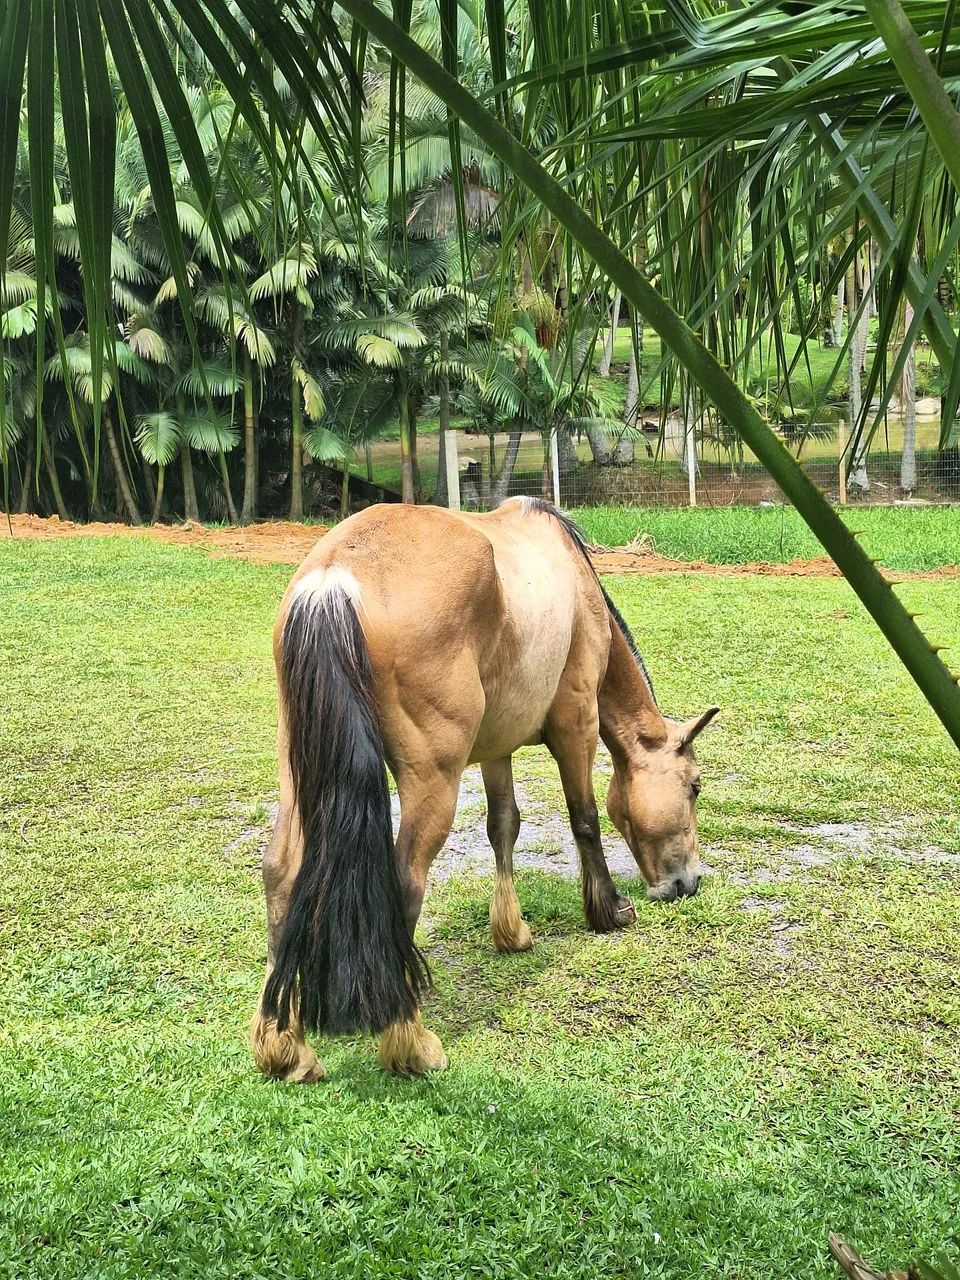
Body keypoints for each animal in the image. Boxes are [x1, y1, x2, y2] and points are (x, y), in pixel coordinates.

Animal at [250, 497, 718, 1082]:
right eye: (695, 787)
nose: (687, 883)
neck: (575, 576)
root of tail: (335, 578)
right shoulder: (577, 723)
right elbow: (584, 818)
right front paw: (609, 911)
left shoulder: (498, 747)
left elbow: (504, 827)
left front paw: (511, 932)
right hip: (434, 779)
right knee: (405, 880)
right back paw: (411, 1043)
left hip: (298, 767)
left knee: (280, 872)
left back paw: (284, 1048)